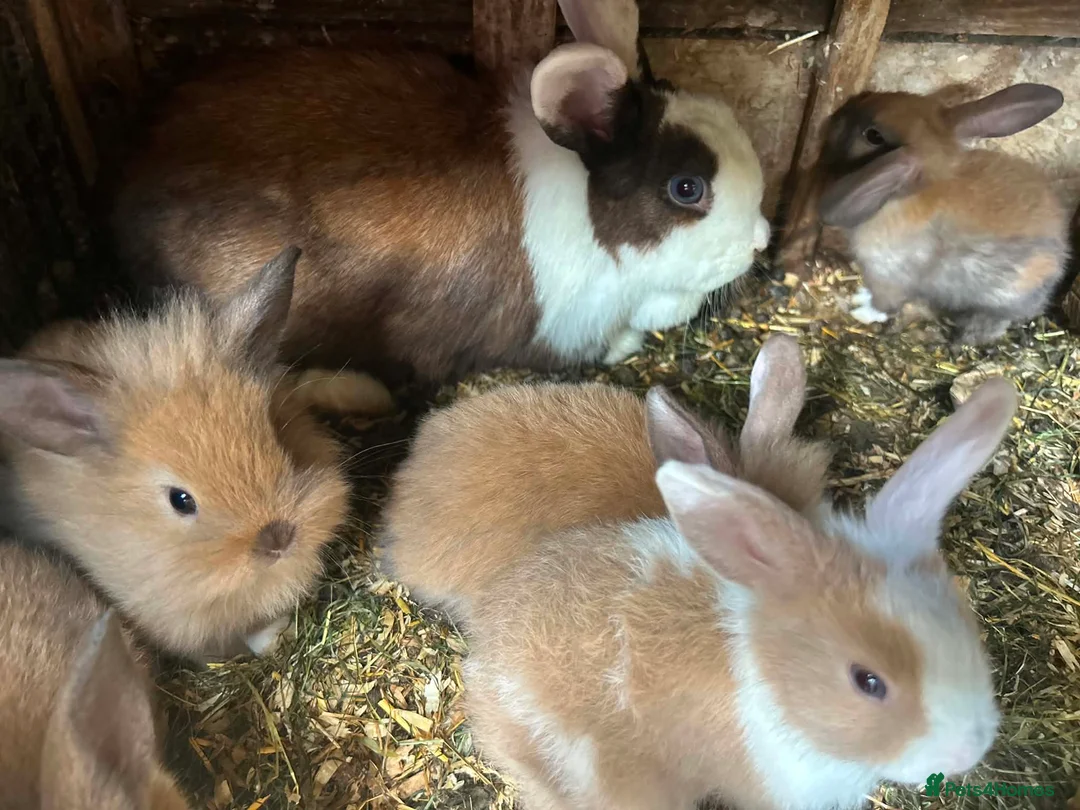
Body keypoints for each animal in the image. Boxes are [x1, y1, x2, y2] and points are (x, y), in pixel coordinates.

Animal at [814, 83, 1069, 345]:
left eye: (873, 135)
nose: (835, 119)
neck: (912, 194)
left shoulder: (887, 273)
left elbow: (886, 304)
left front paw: (862, 310)